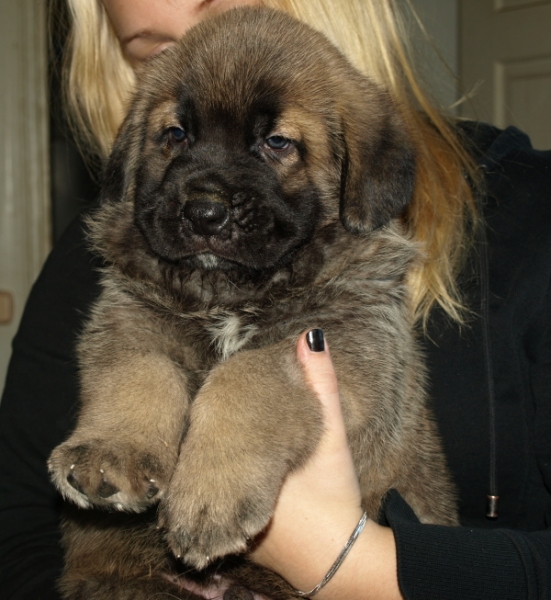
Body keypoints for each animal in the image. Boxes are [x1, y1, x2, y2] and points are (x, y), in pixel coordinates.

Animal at [50, 5, 458, 600]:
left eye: (278, 143)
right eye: (175, 135)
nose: (203, 213)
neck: (231, 291)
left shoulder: (346, 352)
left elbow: (245, 378)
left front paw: (210, 495)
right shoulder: (130, 321)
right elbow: (140, 375)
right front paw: (110, 453)